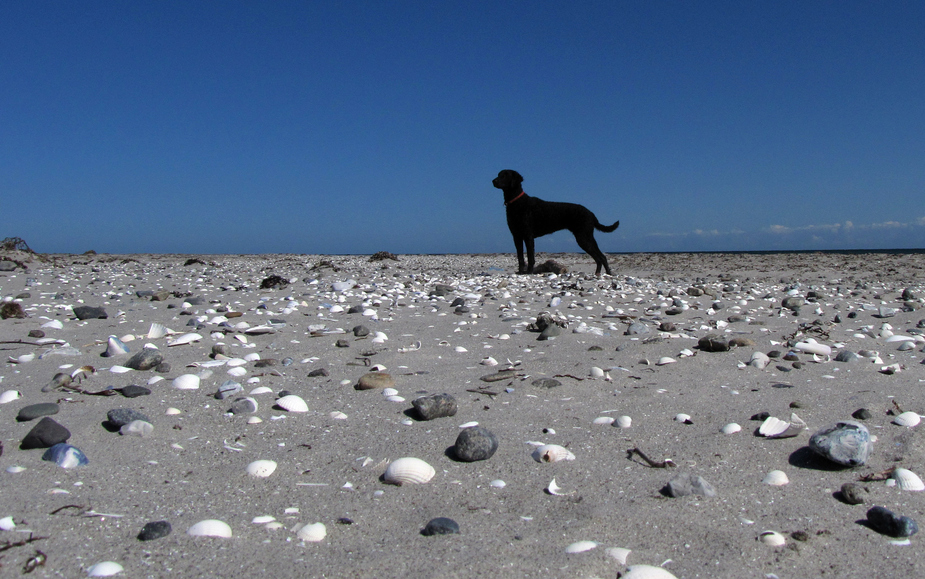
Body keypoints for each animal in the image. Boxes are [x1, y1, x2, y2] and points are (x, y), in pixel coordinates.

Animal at [490, 170, 620, 276]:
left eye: (505, 175)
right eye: (499, 174)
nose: (493, 181)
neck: (517, 202)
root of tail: (591, 213)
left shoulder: (528, 236)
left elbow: (530, 258)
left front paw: (529, 272)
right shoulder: (516, 236)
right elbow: (520, 258)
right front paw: (521, 272)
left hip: (584, 238)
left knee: (601, 256)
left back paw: (607, 273)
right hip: (586, 238)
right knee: (599, 257)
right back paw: (599, 273)